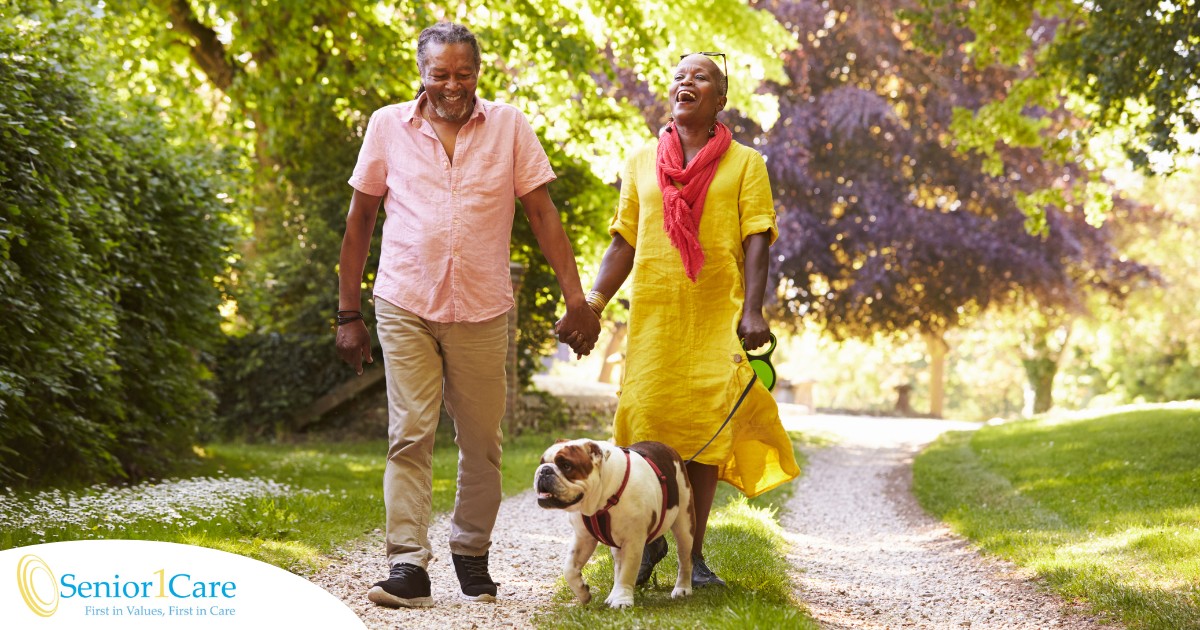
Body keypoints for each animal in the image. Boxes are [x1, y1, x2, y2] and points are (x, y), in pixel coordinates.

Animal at [535, 434, 696, 607]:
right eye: (542, 462)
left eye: (566, 466)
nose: (544, 470)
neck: (602, 499)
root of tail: (667, 448)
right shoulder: (583, 538)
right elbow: (569, 568)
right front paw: (583, 592)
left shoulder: (633, 541)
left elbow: (628, 571)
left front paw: (622, 600)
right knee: (618, 565)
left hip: (684, 524)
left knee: (684, 558)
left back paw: (682, 588)